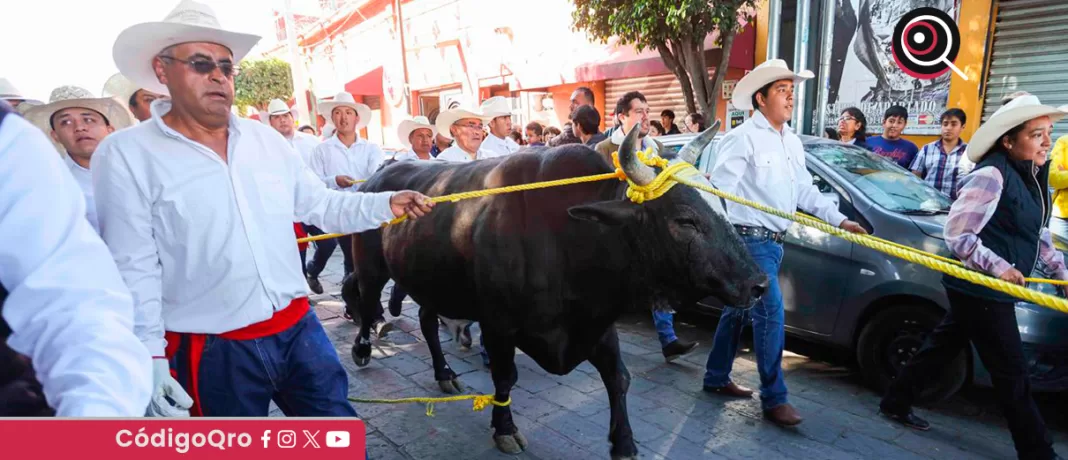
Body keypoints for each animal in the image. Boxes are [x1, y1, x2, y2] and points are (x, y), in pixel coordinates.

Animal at [341, 127, 768, 460]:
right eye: (684, 220)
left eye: (721, 199)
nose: (758, 284)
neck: (569, 236)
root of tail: (381, 174)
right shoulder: (499, 325)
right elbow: (504, 378)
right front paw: (504, 429)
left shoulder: (597, 321)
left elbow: (619, 378)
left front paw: (624, 442)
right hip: (371, 267)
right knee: (365, 299)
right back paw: (362, 348)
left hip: (432, 282)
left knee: (428, 322)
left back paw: (445, 374)